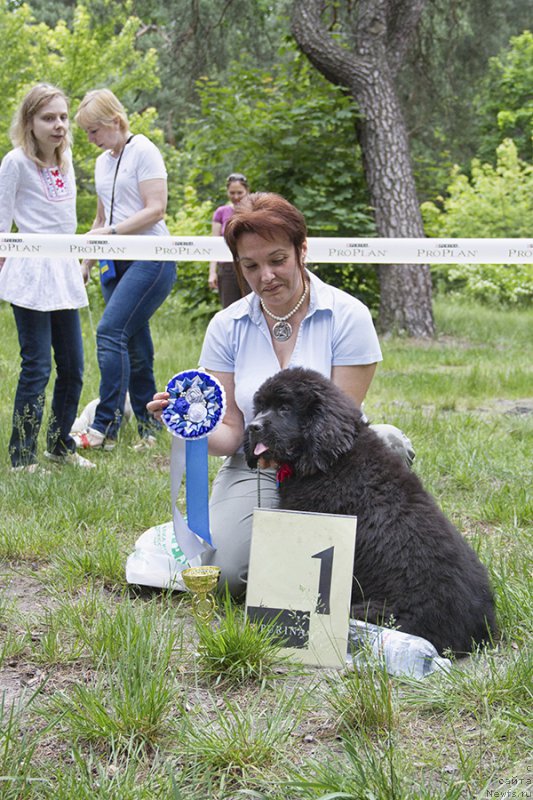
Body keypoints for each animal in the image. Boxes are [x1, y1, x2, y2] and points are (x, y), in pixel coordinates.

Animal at [243, 368, 496, 656]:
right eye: (260, 407)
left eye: (284, 408)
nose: (252, 427)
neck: (331, 459)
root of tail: (481, 628)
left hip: (382, 612)